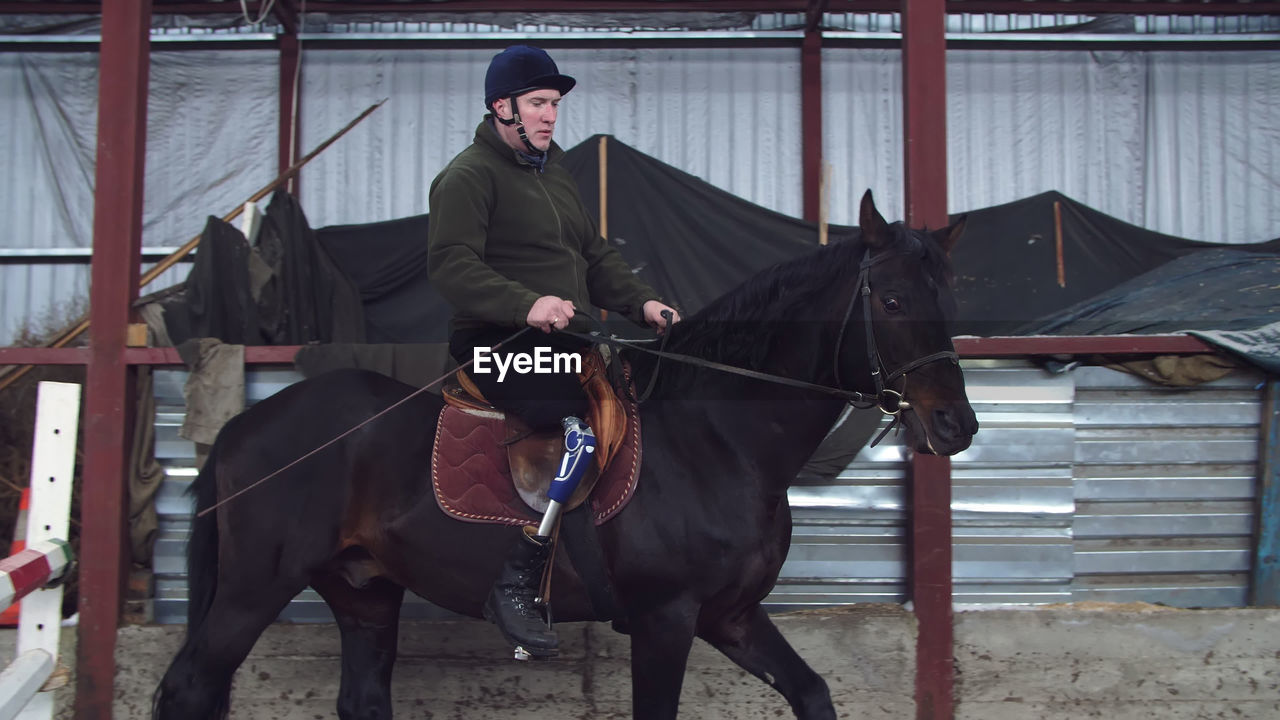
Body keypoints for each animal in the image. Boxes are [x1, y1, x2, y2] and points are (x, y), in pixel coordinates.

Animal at [152, 192, 967, 717]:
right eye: (893, 301)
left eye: (948, 297)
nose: (955, 425)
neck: (715, 440)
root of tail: (247, 423)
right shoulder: (667, 617)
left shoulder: (730, 616)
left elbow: (813, 693)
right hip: (254, 586)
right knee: (189, 688)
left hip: (364, 593)